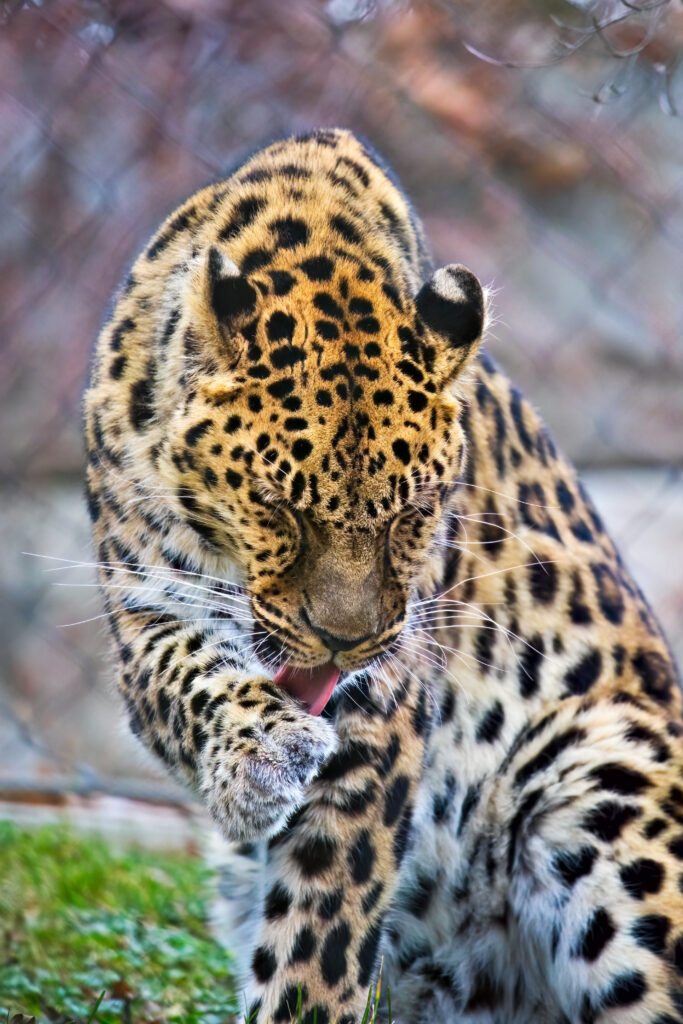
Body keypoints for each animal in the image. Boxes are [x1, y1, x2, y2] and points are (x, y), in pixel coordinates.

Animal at [84, 127, 683, 1024]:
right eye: (278, 507)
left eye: (413, 515)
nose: (343, 644)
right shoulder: (142, 608)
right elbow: (191, 671)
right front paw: (261, 756)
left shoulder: (383, 710)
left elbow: (319, 929)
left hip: (601, 765)